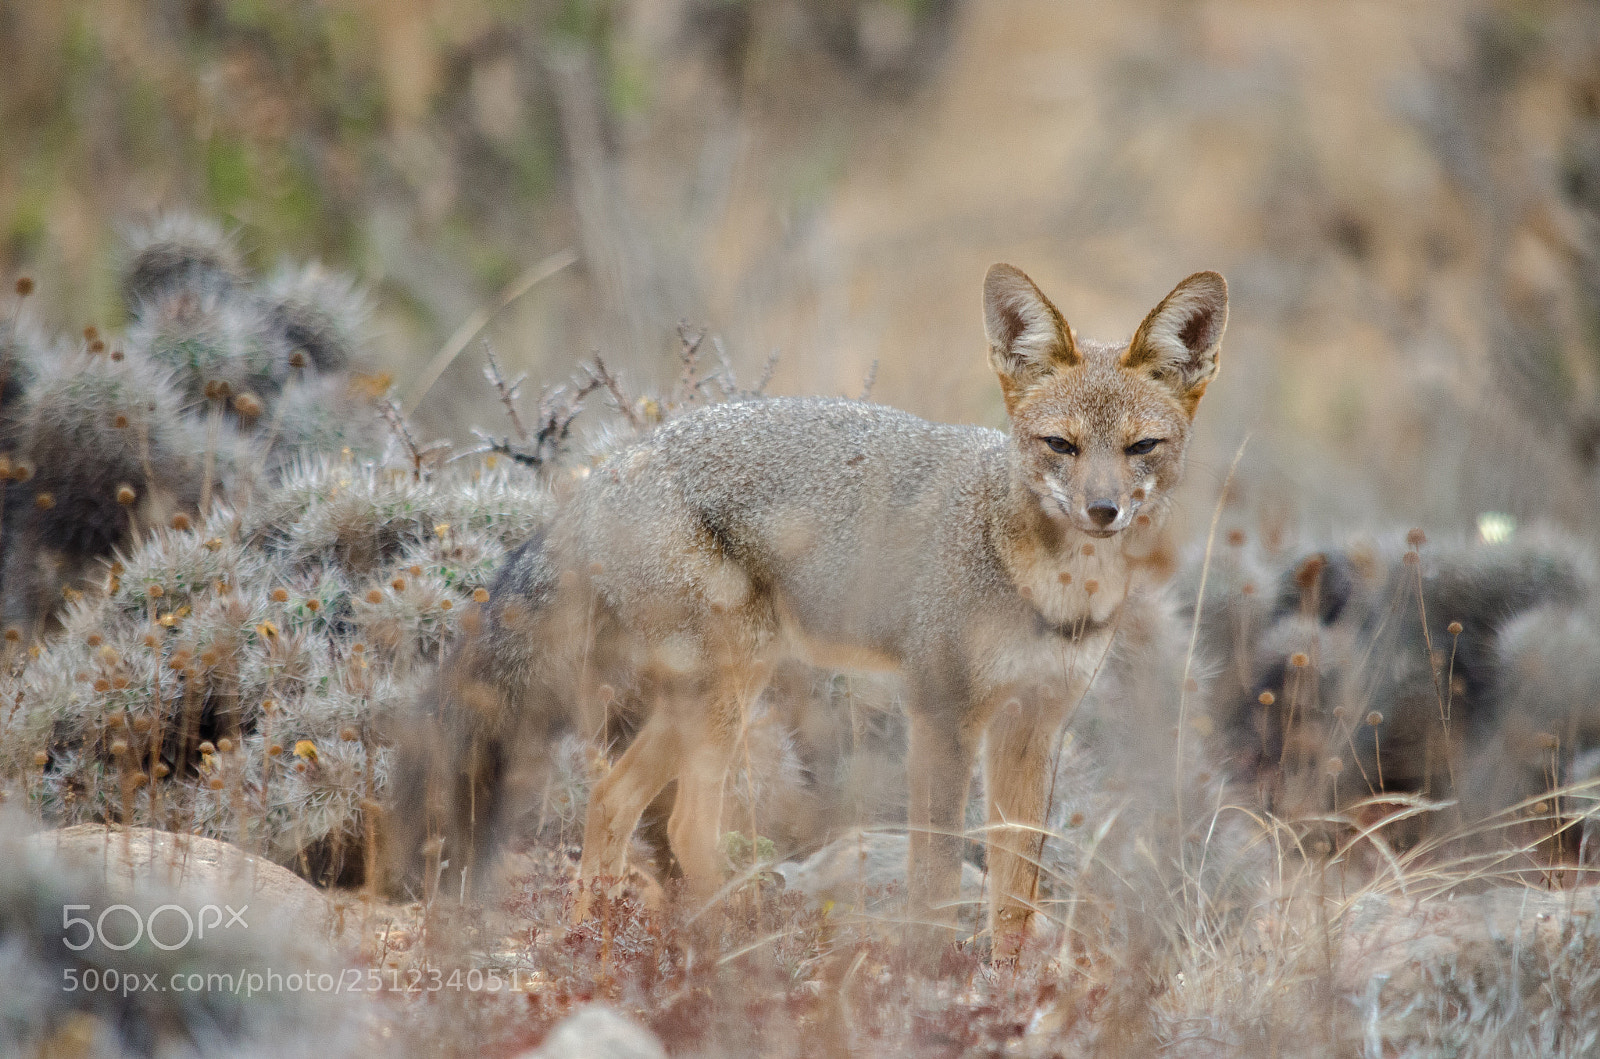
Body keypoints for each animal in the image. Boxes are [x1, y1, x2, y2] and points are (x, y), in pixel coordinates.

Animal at [391, 264, 1227, 958]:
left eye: (1142, 446)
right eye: (1060, 444)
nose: (1103, 511)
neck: (1049, 585)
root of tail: (610, 466)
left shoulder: (1034, 724)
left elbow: (1016, 890)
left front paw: (1011, 990)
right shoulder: (942, 714)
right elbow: (935, 870)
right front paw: (931, 980)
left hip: (708, 696)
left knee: (612, 798)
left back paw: (594, 939)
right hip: (731, 688)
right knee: (686, 823)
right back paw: (740, 947)